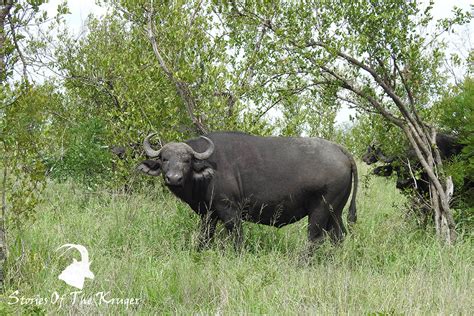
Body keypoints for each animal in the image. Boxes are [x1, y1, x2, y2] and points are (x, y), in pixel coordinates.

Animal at [139, 131, 358, 254]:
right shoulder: (209, 214)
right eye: (165, 159)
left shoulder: (229, 210)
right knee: (338, 237)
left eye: (186, 160)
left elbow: (237, 237)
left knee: (314, 238)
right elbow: (205, 237)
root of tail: (341, 150)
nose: (174, 178)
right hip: (335, 212)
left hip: (320, 210)